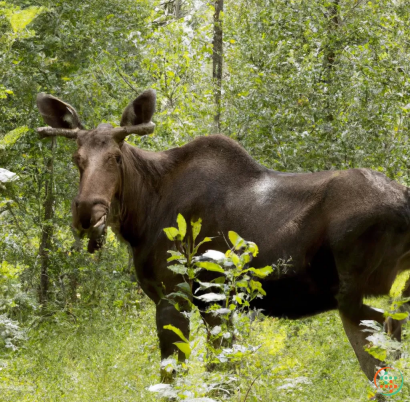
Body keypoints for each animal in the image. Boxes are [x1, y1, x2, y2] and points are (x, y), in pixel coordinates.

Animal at [36, 88, 410, 384]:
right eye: (77, 158)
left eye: (115, 157)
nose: (87, 212)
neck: (143, 212)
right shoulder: (215, 301)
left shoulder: (174, 294)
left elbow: (175, 376)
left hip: (364, 298)